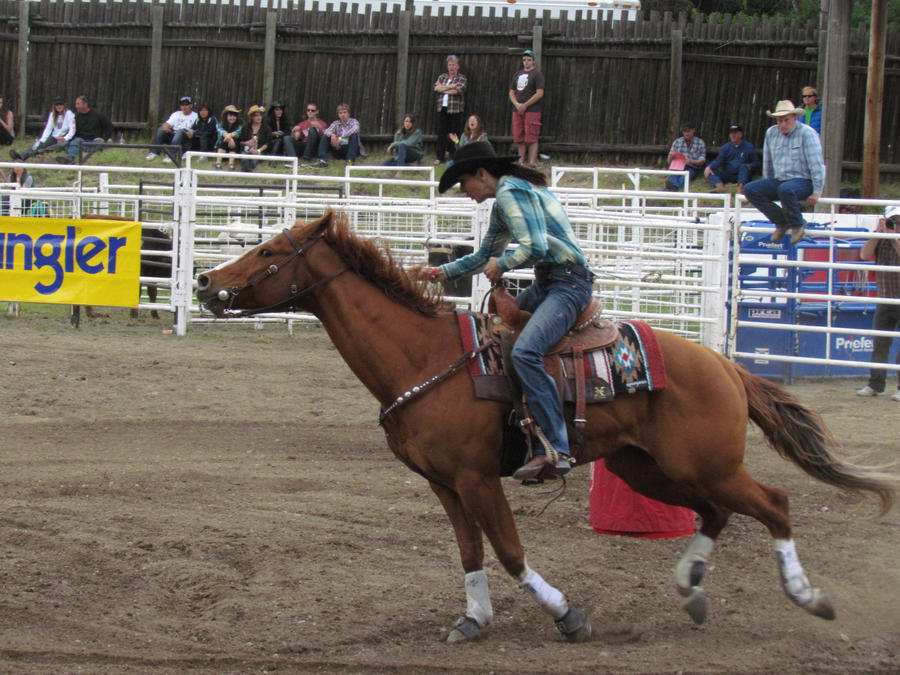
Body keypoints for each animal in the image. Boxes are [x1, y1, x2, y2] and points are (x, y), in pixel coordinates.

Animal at [197, 211, 900, 644]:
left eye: (267, 251)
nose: (205, 281)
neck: (423, 358)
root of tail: (726, 366)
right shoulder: (445, 484)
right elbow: (470, 552)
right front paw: (473, 619)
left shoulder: (479, 478)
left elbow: (509, 551)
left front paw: (567, 616)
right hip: (647, 468)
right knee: (717, 513)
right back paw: (691, 589)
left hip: (708, 463)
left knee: (773, 503)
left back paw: (808, 597)